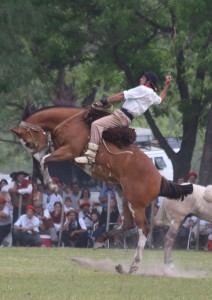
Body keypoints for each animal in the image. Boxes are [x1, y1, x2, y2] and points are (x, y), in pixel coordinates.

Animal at [11, 106, 194, 274]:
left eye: (28, 142)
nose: (34, 156)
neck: (69, 122)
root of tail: (159, 178)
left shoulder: (69, 151)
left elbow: (45, 160)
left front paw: (51, 185)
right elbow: (45, 159)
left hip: (136, 204)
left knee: (143, 229)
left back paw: (133, 265)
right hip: (122, 196)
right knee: (127, 223)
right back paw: (101, 240)